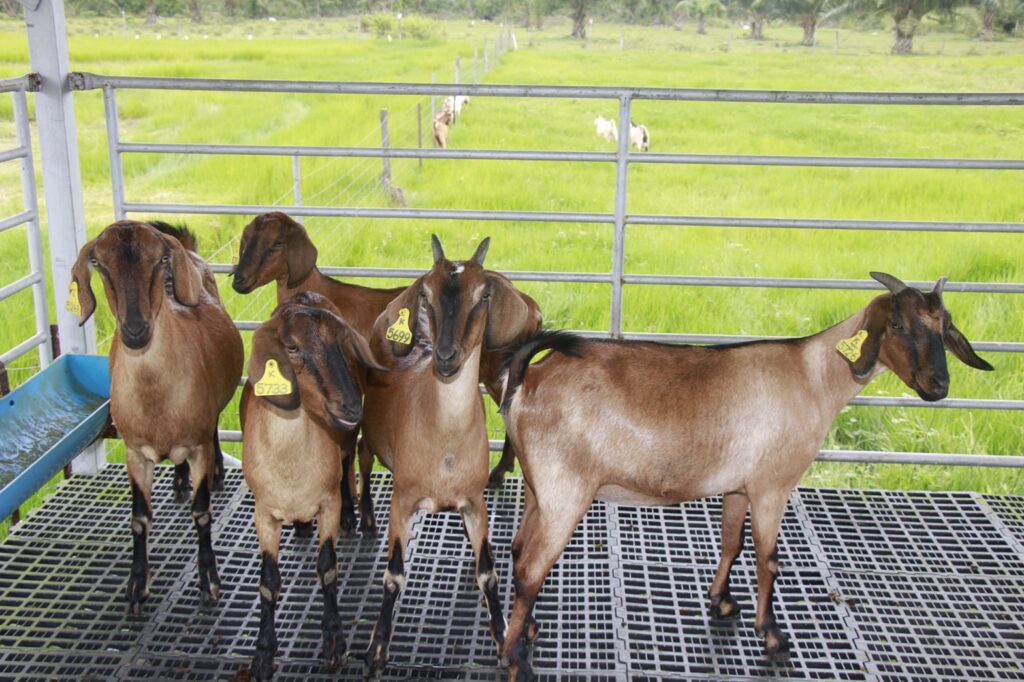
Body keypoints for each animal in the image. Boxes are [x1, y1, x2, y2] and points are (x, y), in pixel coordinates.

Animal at [70, 220, 244, 613]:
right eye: (99, 264)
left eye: (160, 260)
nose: (135, 330)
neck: (156, 398)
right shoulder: (134, 452)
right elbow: (138, 519)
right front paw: (136, 586)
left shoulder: (197, 444)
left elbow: (202, 512)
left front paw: (209, 581)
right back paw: (178, 481)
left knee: (213, 428)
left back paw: (217, 474)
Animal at [241, 292, 386, 680]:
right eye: (291, 347)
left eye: (343, 342)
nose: (349, 406)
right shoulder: (263, 513)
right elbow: (268, 581)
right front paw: (262, 655)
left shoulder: (327, 502)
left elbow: (328, 566)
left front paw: (334, 642)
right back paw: (303, 526)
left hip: (348, 442)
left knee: (352, 459)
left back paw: (356, 518)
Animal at [360, 235, 508, 679]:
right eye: (426, 292)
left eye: (484, 295)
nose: (445, 357)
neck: (444, 442)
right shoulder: (403, 499)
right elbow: (393, 575)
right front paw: (376, 649)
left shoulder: (475, 499)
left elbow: (488, 573)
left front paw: (504, 637)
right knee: (358, 459)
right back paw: (363, 517)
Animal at [497, 272, 993, 680]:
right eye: (897, 327)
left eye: (943, 329)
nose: (938, 387)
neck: (814, 376)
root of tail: (528, 379)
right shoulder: (773, 485)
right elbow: (767, 559)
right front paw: (772, 637)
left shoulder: (738, 486)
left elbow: (732, 542)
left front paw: (722, 601)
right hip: (566, 491)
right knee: (531, 567)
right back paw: (515, 658)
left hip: (540, 489)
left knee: (520, 550)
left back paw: (529, 629)